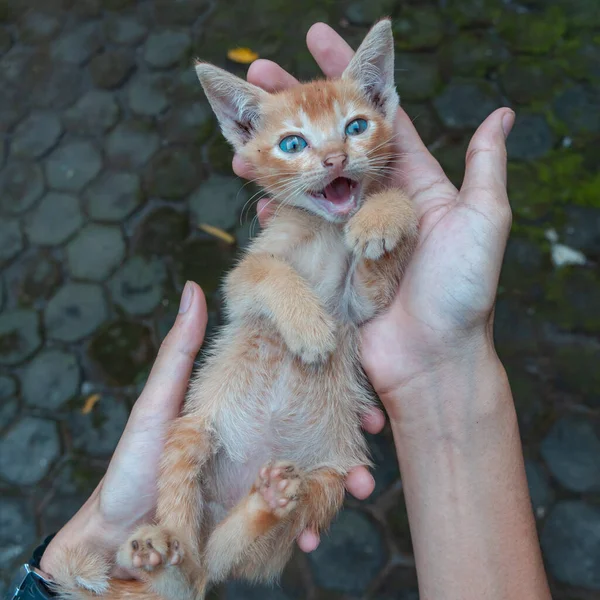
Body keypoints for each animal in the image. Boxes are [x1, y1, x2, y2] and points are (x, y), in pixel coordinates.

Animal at [51, 17, 418, 600]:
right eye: (293, 143)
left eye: (357, 126)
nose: (336, 160)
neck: (325, 230)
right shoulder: (239, 281)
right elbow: (267, 274)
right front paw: (309, 328)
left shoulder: (362, 303)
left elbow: (379, 252)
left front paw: (380, 218)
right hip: (189, 436)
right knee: (187, 559)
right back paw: (155, 550)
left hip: (323, 485)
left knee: (225, 553)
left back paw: (264, 503)